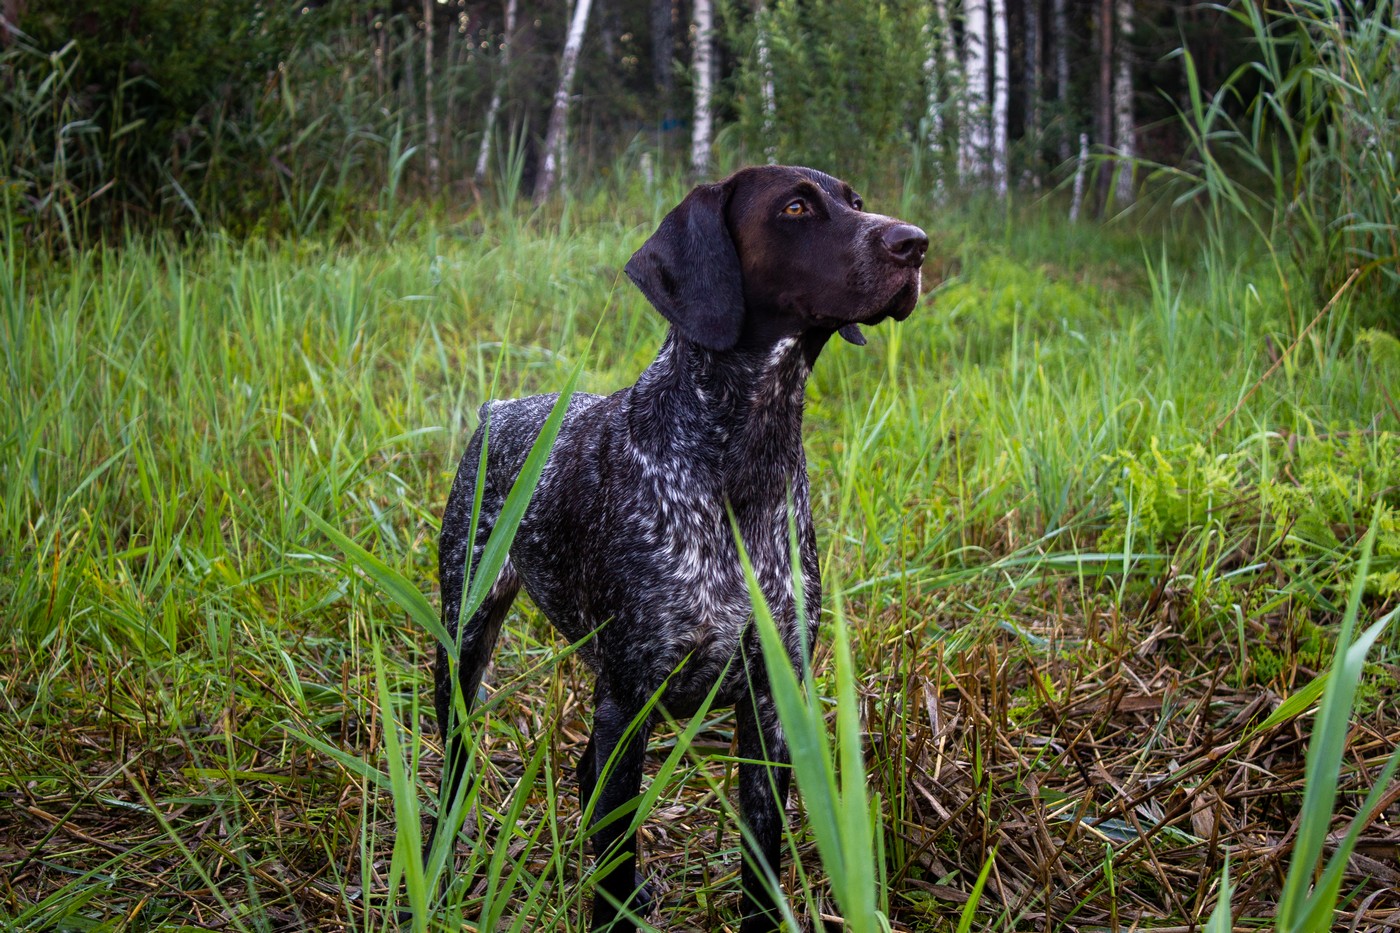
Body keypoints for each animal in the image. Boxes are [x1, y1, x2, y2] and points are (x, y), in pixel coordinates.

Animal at [431, 167, 924, 930]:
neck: (741, 464)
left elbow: (760, 870)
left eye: (856, 202)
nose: (916, 243)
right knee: (459, 761)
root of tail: (498, 410)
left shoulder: (771, 707)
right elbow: (613, 846)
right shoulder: (628, 694)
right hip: (465, 637)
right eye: (796, 206)